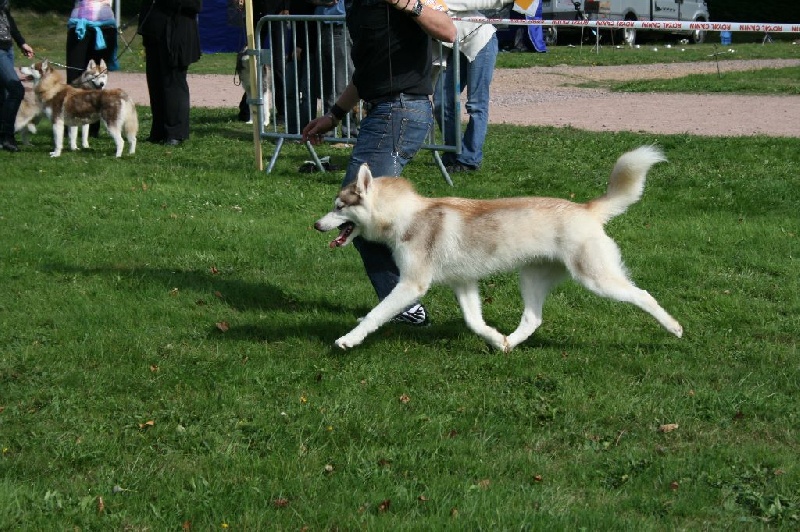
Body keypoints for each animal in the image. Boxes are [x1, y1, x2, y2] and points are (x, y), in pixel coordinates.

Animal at [312, 147, 680, 354]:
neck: (407, 216)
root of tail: (586, 208)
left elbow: (376, 314)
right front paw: (493, 337)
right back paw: (509, 344)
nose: (316, 224)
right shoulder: (464, 283)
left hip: (596, 278)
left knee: (644, 295)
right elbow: (474, 322)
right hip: (531, 278)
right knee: (533, 318)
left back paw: (674, 327)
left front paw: (349, 339)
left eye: (338, 207)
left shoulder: (411, 285)